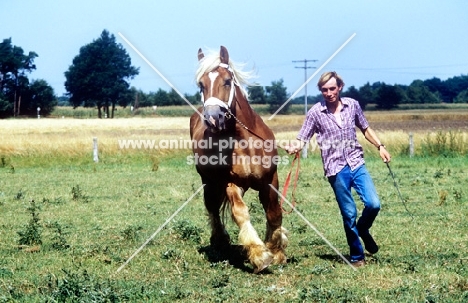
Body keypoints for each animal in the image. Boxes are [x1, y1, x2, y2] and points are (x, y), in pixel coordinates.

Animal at [188, 46, 288, 274]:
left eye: (227, 81)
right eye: (201, 84)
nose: (212, 118)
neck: (244, 142)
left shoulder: (270, 180)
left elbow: (274, 213)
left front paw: (277, 249)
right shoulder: (231, 183)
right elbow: (240, 213)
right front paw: (260, 254)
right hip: (209, 182)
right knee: (213, 208)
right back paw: (220, 242)